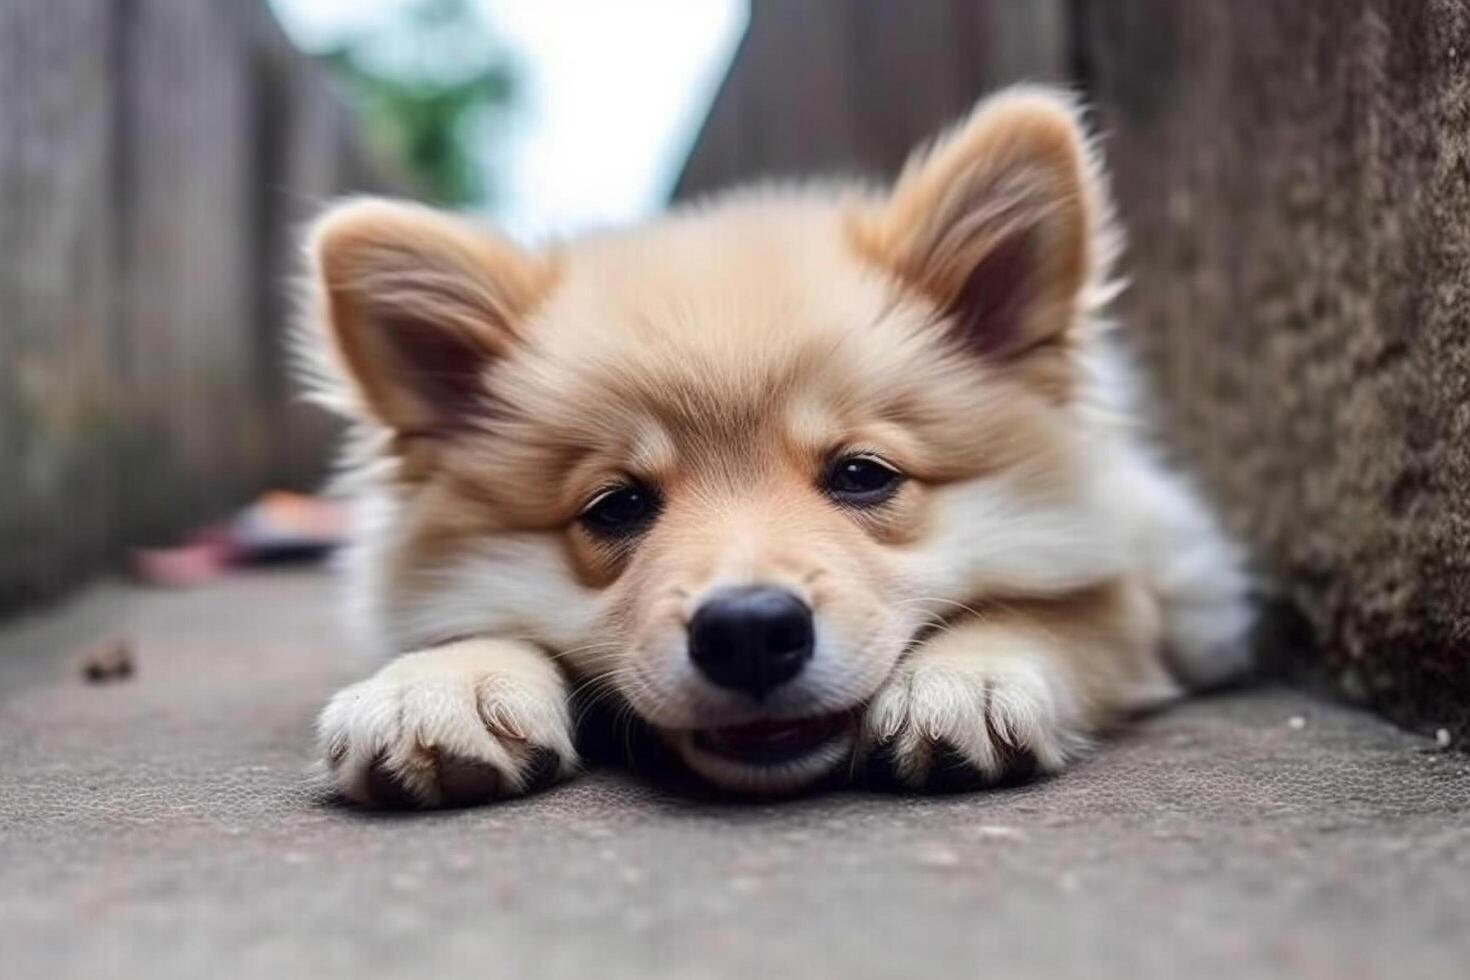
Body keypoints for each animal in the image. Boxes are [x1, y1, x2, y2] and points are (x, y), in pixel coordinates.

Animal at [301, 86, 1252, 805]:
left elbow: (1070, 609)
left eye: (862, 475)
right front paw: (439, 684)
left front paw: (968, 673)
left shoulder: (1155, 573)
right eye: (617, 506)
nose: (751, 632)